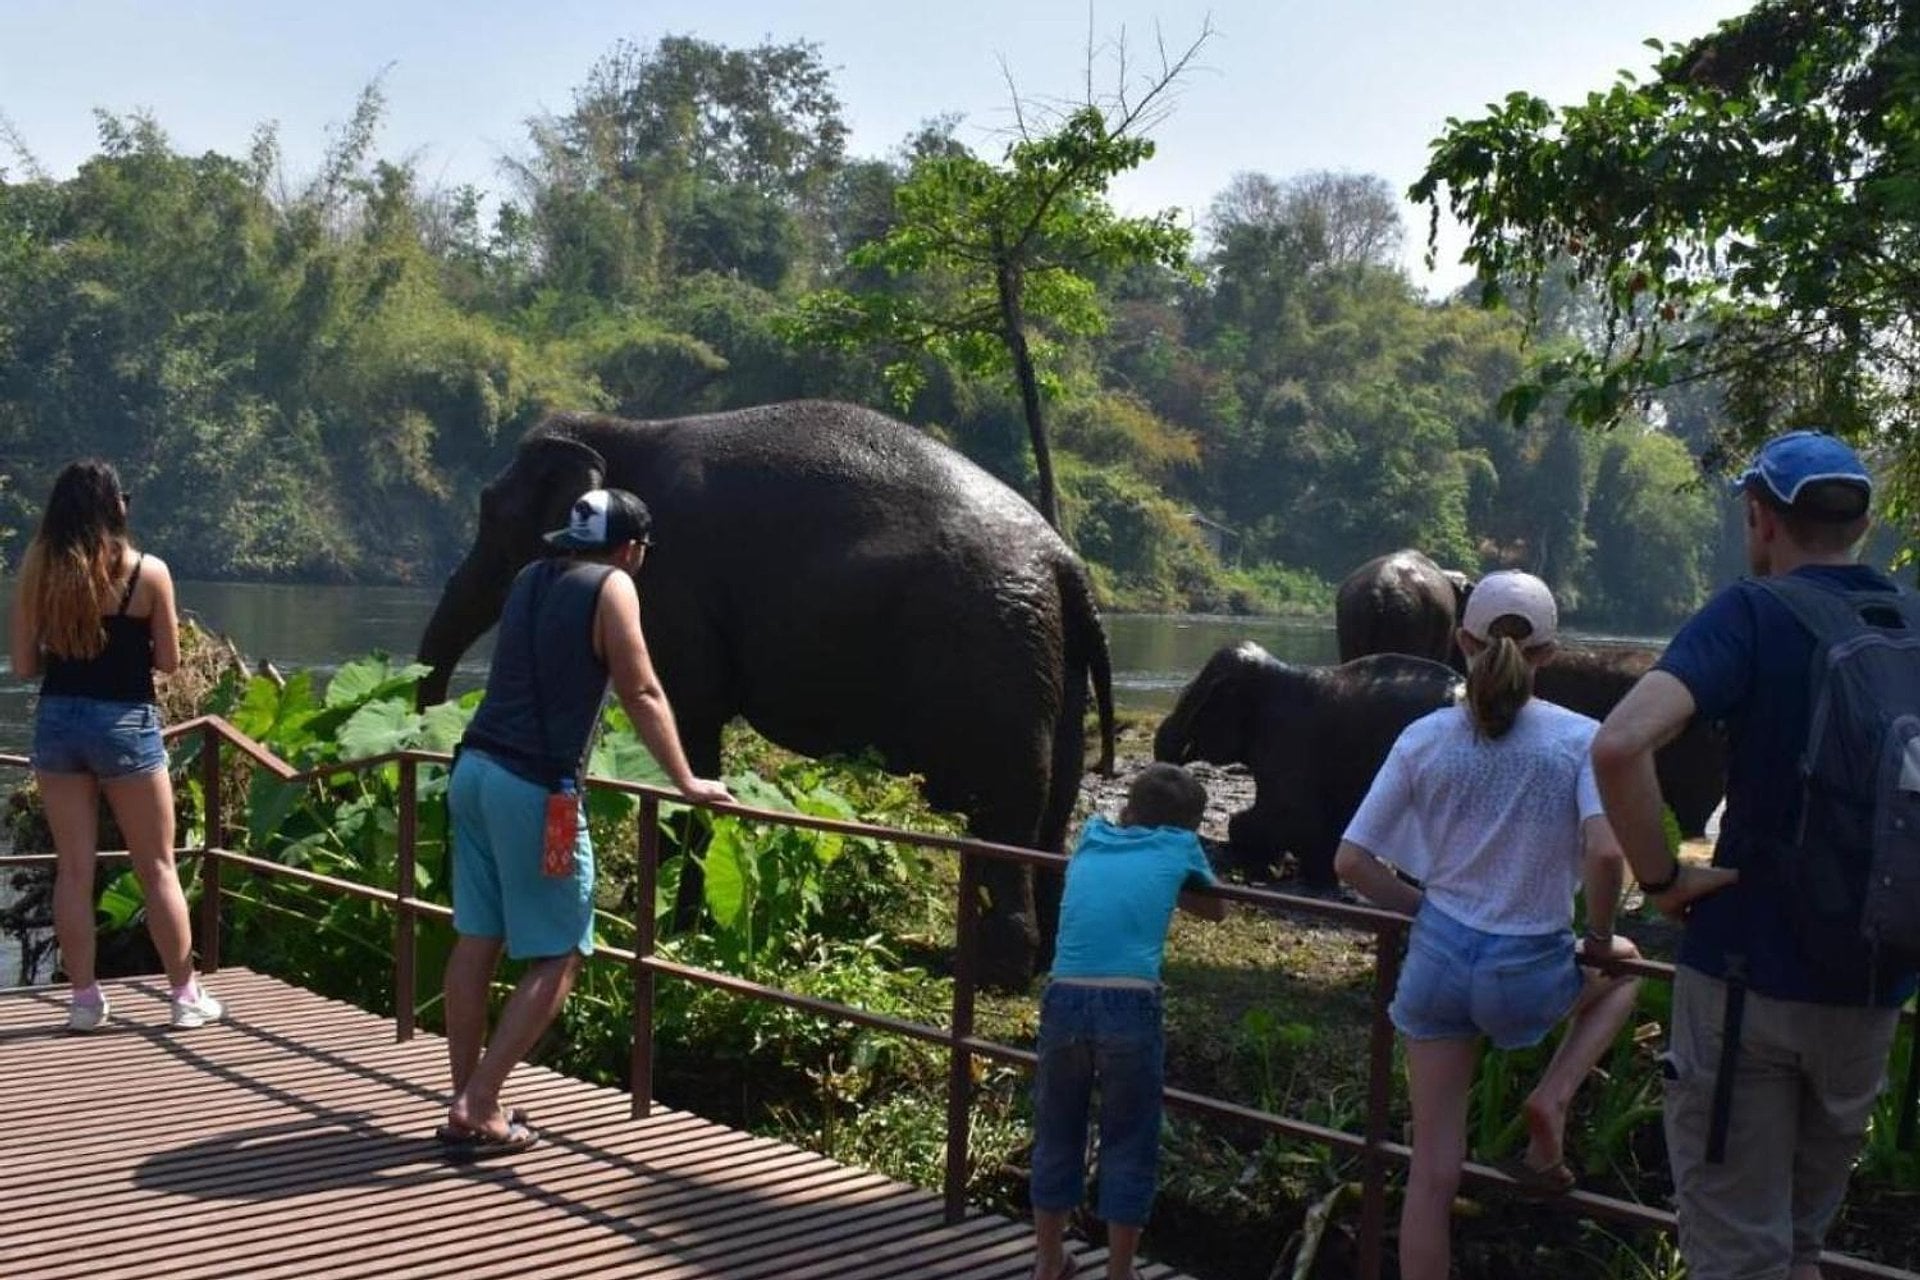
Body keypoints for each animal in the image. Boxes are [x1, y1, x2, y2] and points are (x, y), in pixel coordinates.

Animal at [416, 401, 1115, 989]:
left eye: (493, 515)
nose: (433, 744)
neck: (629, 428)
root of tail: (1066, 563)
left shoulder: (674, 584)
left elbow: (686, 712)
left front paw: (676, 924)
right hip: (1052, 666)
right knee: (1053, 809)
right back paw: (1052, 966)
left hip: (995, 661)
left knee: (1004, 812)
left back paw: (995, 974)